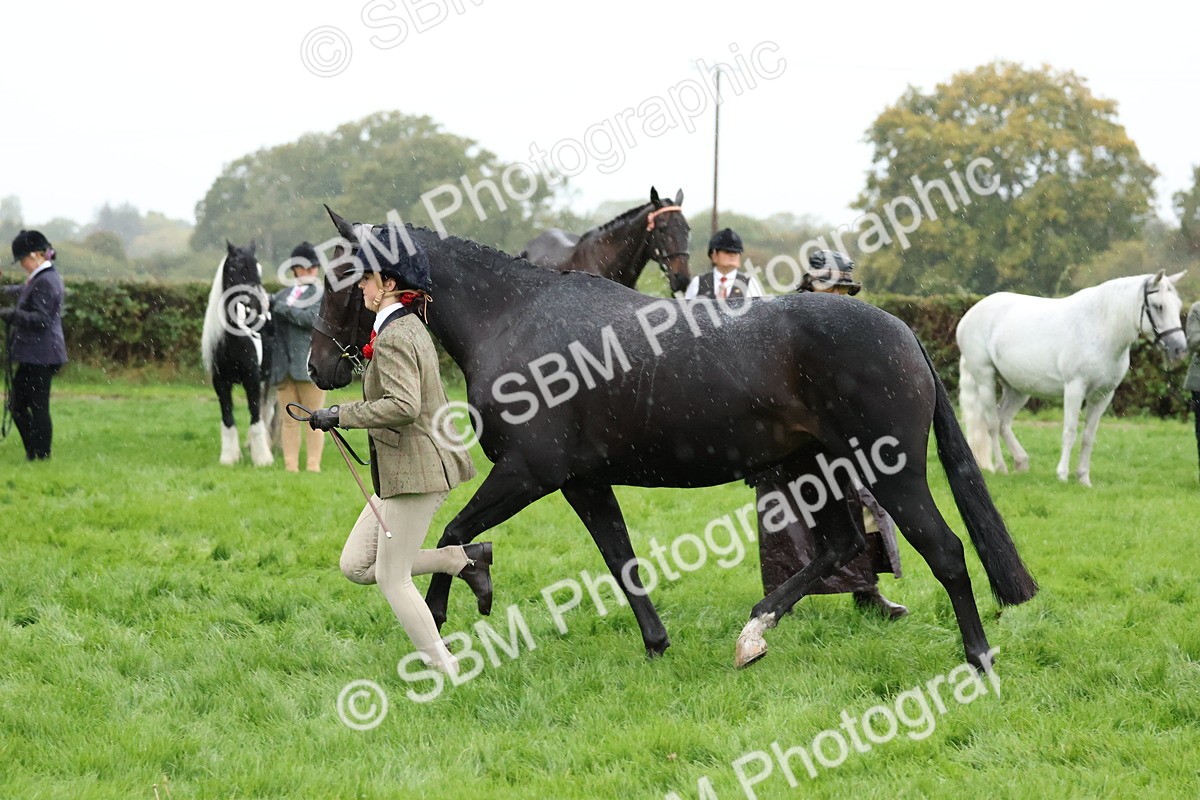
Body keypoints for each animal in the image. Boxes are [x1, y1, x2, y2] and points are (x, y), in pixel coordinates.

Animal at [201, 240, 275, 466]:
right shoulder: (220, 383)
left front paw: (262, 459)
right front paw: (229, 457)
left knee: (266, 410)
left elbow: (255, 415)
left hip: (270, 380)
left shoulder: (252, 379)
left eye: (258, 268)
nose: (261, 304)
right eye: (236, 268)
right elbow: (227, 417)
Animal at [309, 208, 1039, 672]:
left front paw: (445, 621)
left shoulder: (529, 472)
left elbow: (455, 535)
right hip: (817, 469)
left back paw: (977, 659)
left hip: (891, 471)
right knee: (839, 547)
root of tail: (903, 331)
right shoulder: (584, 480)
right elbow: (620, 558)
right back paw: (753, 633)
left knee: (944, 550)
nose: (318, 369)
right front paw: (657, 643)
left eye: (344, 277)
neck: (516, 319)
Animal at [956, 271, 1187, 487]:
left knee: (1003, 420)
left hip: (1018, 389)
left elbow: (1088, 436)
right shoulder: (1074, 388)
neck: (1101, 328)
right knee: (993, 423)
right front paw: (1062, 475)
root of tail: (969, 316)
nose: (1179, 348)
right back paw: (1001, 467)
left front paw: (1083, 478)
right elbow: (1069, 432)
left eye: (1178, 306)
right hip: (985, 378)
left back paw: (1021, 462)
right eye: (1158, 306)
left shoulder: (1103, 396)